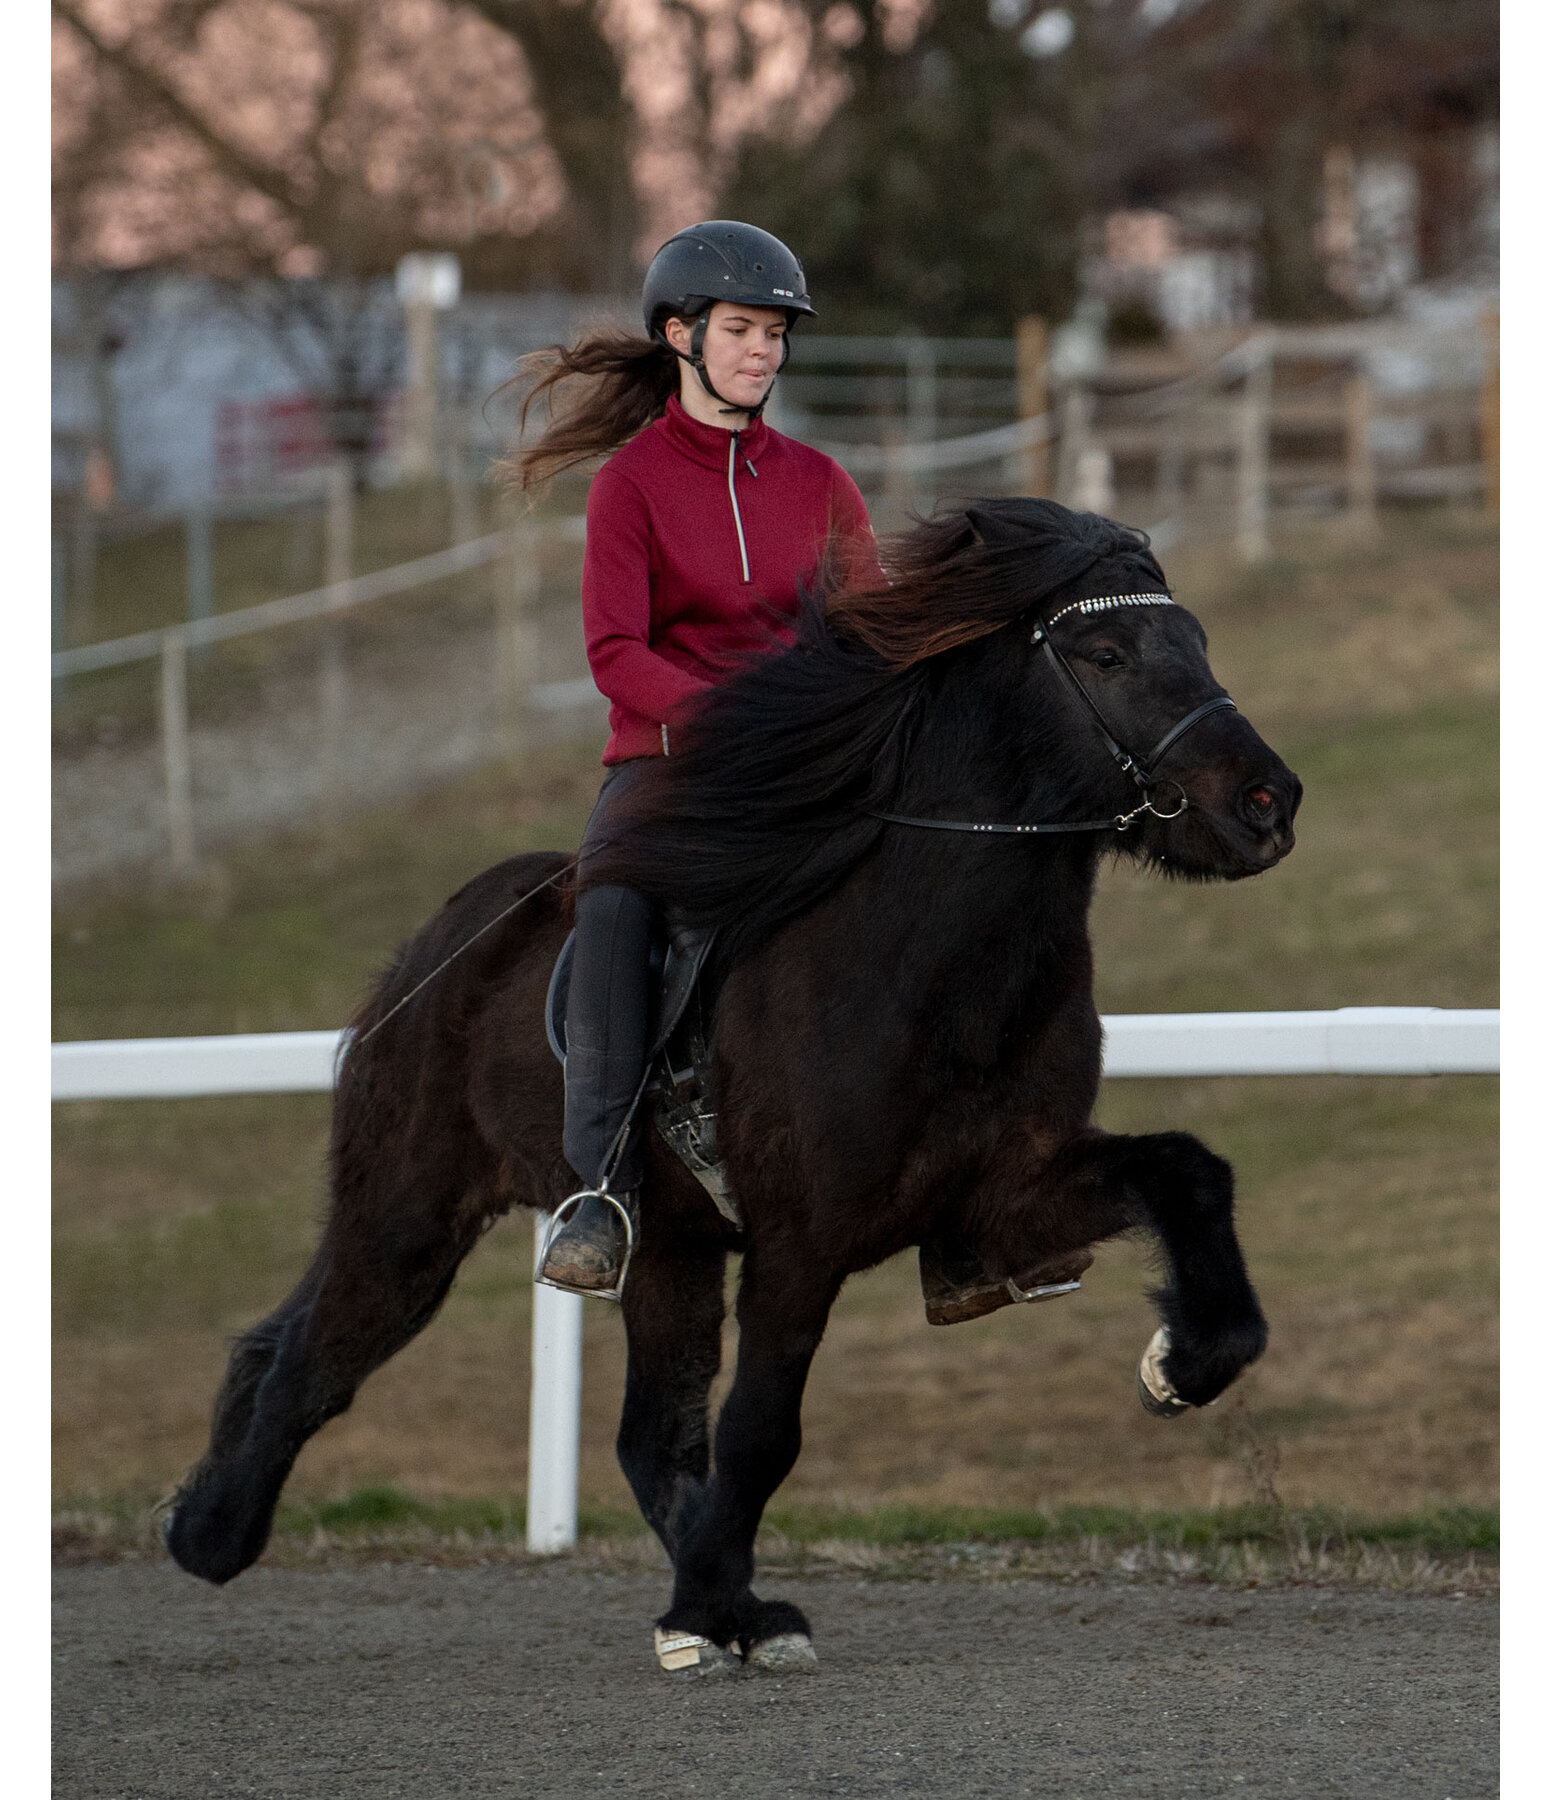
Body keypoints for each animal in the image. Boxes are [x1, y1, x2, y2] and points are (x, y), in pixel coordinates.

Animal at [162, 504, 1303, 1670]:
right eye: (1106, 653)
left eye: (1196, 640)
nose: (1267, 801)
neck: (926, 962)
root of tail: (432, 951)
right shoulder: (801, 1242)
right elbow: (761, 1430)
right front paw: (704, 1605)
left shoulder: (1001, 1195)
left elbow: (1188, 1174)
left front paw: (1184, 1361)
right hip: (411, 1216)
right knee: (311, 1360)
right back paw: (209, 1533)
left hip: (664, 1241)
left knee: (643, 1437)